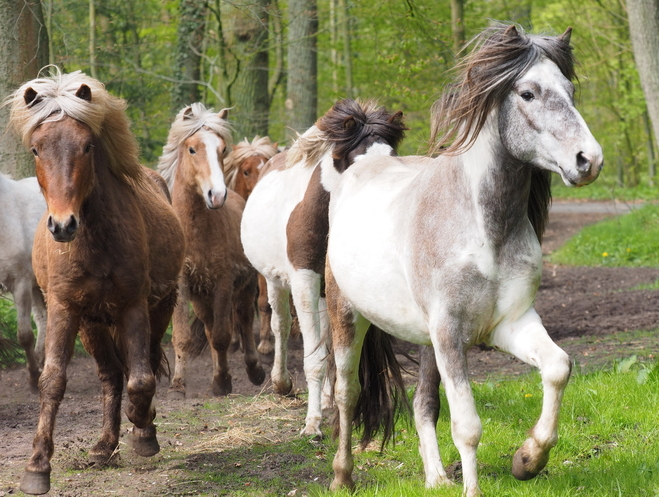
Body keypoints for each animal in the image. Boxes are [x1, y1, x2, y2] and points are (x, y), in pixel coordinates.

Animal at [9, 69, 186, 492]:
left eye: (87, 146)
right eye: (37, 149)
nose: (62, 225)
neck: (93, 242)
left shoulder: (134, 306)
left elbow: (142, 379)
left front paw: (143, 426)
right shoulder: (64, 309)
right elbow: (53, 381)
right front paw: (37, 466)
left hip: (161, 307)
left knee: (143, 364)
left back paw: (141, 431)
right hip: (92, 325)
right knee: (110, 376)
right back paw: (105, 445)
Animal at [157, 102, 266, 398]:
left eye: (222, 149)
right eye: (192, 149)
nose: (216, 195)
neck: (196, 232)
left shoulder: (224, 283)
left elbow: (222, 336)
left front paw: (223, 381)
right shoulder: (182, 285)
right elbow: (183, 337)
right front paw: (179, 385)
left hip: (244, 287)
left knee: (243, 320)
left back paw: (254, 369)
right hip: (202, 297)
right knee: (208, 327)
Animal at [242, 100, 408, 434]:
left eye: (393, 156)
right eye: (358, 164)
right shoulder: (303, 280)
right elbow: (314, 357)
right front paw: (312, 423)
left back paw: (329, 397)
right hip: (276, 281)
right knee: (280, 324)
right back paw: (282, 383)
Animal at [324, 25, 604, 494]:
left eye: (569, 90)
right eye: (528, 93)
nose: (589, 160)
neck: (484, 229)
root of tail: (361, 166)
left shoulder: (509, 324)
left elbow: (558, 367)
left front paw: (528, 459)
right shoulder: (450, 334)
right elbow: (468, 426)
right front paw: (476, 486)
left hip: (424, 341)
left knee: (422, 403)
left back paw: (436, 478)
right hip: (347, 317)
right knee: (347, 394)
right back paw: (342, 477)